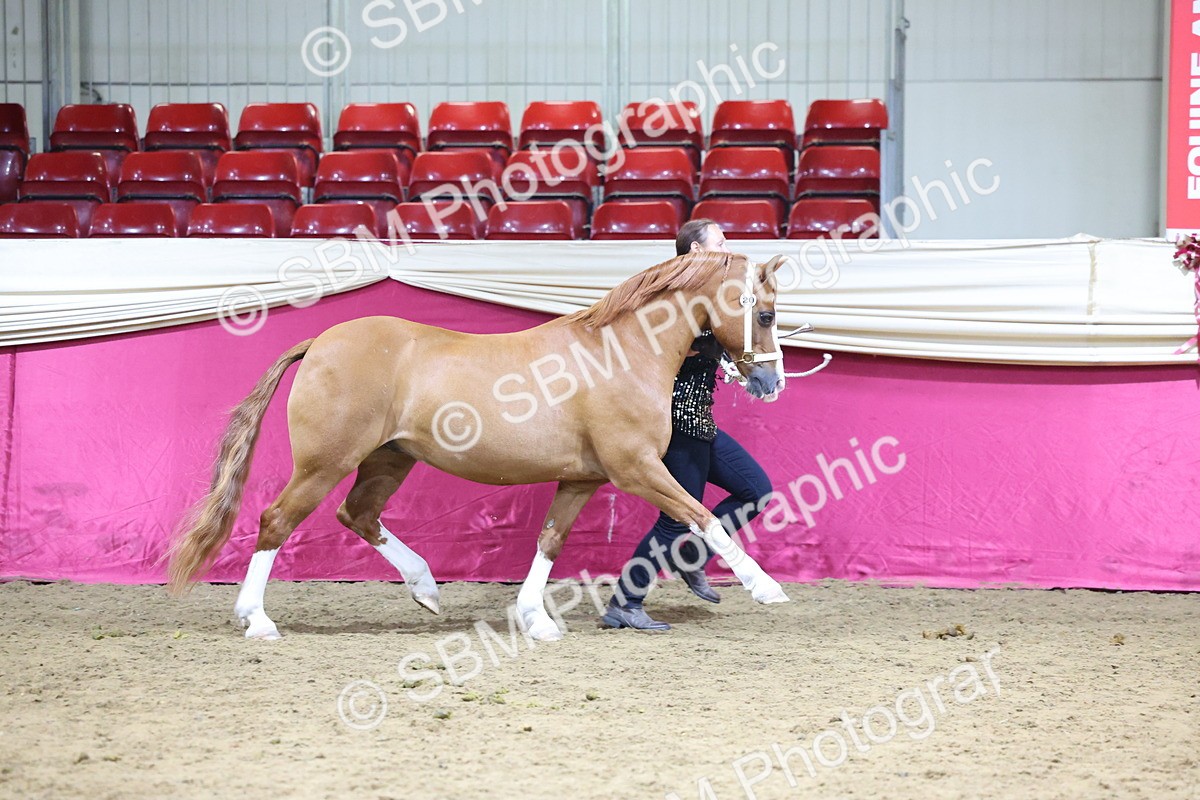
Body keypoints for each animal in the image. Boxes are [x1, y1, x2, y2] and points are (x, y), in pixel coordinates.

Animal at [167, 251, 792, 641]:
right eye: (764, 313)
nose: (771, 383)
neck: (618, 353)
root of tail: (319, 340)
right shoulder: (636, 468)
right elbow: (700, 516)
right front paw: (767, 589)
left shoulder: (583, 478)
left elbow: (549, 540)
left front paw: (536, 620)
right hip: (325, 463)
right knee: (276, 521)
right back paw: (257, 620)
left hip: (388, 460)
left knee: (358, 514)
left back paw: (425, 588)